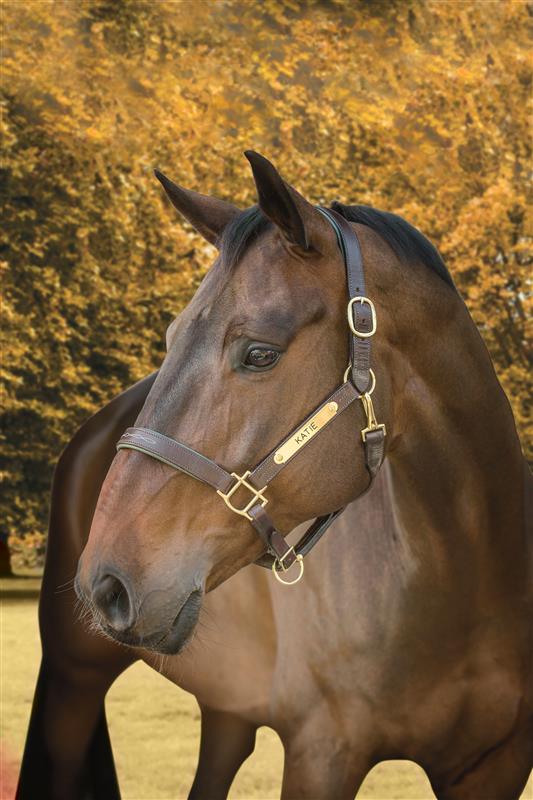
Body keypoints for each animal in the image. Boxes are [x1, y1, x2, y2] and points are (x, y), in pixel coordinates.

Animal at [16, 152, 532, 800]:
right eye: (171, 337)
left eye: (260, 353)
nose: (105, 583)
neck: (463, 584)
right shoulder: (320, 755)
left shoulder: (495, 766)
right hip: (73, 681)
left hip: (228, 708)